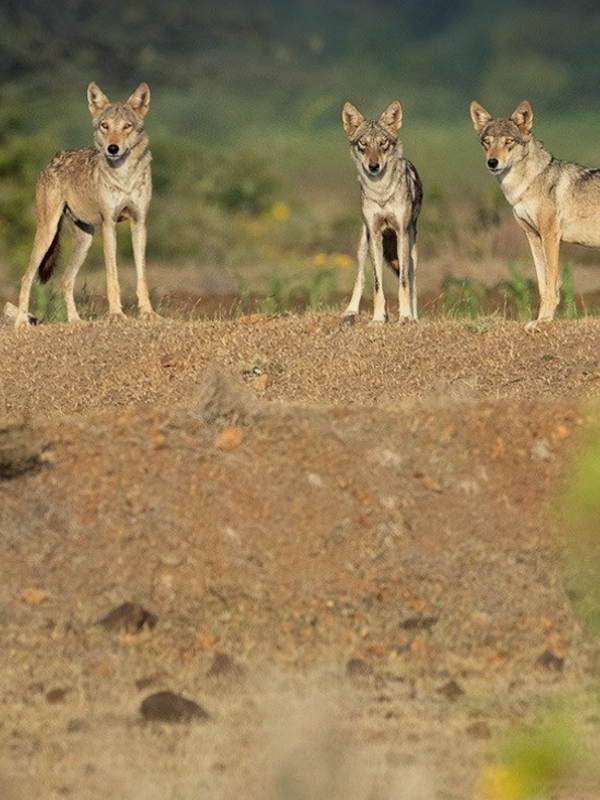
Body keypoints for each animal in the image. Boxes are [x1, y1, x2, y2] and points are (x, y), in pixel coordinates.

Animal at [10, 81, 155, 328]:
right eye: (105, 126)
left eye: (127, 126)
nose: (112, 148)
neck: (124, 175)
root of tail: (53, 159)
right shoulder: (109, 224)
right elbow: (112, 274)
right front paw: (116, 314)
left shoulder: (139, 223)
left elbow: (142, 275)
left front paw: (148, 313)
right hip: (48, 231)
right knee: (27, 276)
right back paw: (21, 322)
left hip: (84, 240)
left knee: (65, 279)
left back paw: (75, 320)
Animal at [342, 98, 422, 324]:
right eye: (363, 143)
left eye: (383, 143)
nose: (374, 166)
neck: (381, 192)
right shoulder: (375, 234)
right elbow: (377, 285)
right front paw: (378, 319)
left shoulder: (401, 234)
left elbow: (404, 284)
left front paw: (405, 317)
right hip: (364, 244)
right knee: (361, 277)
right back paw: (350, 312)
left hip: (411, 250)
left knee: (411, 282)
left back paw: (413, 316)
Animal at [468, 101, 600, 332]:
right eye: (487, 142)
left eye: (508, 141)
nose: (492, 162)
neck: (525, 185)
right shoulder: (533, 236)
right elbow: (542, 283)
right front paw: (540, 319)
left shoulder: (550, 235)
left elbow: (551, 284)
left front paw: (544, 321)